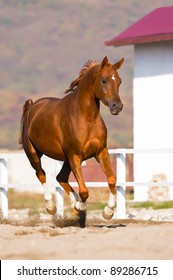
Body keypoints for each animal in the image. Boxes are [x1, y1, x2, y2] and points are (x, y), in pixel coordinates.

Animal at [18, 55, 123, 222]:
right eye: (104, 80)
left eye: (119, 81)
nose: (117, 107)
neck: (86, 118)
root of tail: (32, 107)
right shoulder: (75, 155)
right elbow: (84, 190)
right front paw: (81, 207)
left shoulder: (101, 152)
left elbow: (111, 179)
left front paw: (108, 211)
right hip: (34, 153)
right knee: (41, 173)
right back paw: (51, 207)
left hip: (66, 159)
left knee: (60, 177)